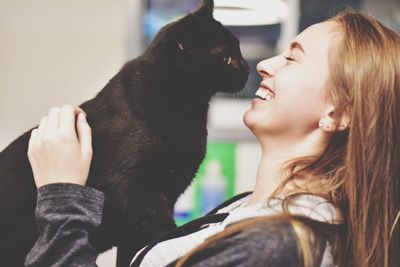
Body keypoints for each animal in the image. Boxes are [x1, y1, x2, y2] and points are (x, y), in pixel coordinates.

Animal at [0, 1, 248, 266]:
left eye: (239, 50)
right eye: (226, 57)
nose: (247, 68)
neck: (190, 109)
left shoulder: (164, 198)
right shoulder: (137, 192)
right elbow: (165, 231)